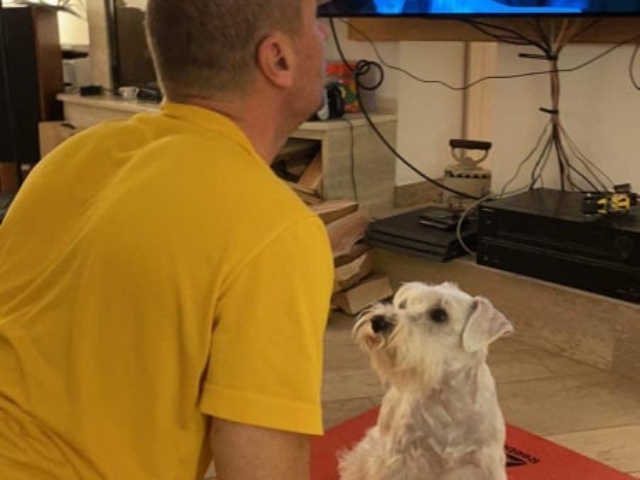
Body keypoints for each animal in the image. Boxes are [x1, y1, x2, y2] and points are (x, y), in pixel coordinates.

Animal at [340, 282, 516, 480]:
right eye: (403, 305)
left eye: (440, 315)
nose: (378, 321)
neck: (447, 395)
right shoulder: (400, 458)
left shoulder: (486, 463)